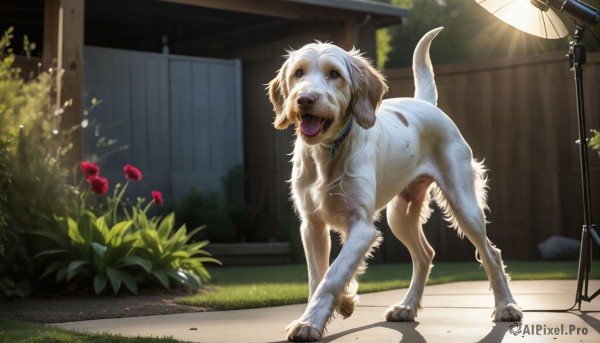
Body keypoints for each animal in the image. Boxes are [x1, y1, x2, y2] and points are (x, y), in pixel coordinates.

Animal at [266, 28, 520, 342]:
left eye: (334, 74)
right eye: (298, 73)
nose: (304, 99)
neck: (331, 150)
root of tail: (426, 104)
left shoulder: (362, 227)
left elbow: (332, 275)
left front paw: (309, 323)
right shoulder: (312, 226)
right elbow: (319, 277)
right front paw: (336, 305)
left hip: (464, 205)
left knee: (491, 253)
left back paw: (506, 306)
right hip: (400, 215)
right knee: (425, 255)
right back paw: (407, 307)